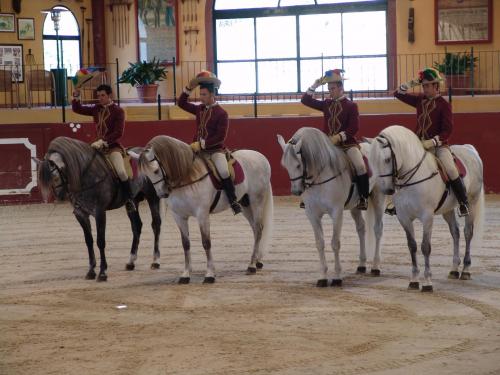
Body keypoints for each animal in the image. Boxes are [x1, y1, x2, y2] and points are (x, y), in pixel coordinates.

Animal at [132, 137, 274, 284]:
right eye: (146, 175)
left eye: (155, 171)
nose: (163, 194)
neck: (187, 177)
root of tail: (260, 157)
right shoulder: (179, 216)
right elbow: (186, 244)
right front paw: (186, 274)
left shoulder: (202, 214)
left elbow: (206, 242)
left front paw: (210, 274)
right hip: (245, 204)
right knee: (255, 229)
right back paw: (257, 260)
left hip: (256, 201)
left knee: (258, 229)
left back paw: (251, 266)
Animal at [276, 127, 384, 288]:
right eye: (285, 166)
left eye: (298, 165)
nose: (296, 191)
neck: (319, 178)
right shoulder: (312, 214)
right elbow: (320, 243)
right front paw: (322, 277)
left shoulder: (336, 213)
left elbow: (335, 243)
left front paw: (337, 277)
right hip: (355, 206)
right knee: (361, 228)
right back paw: (361, 265)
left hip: (378, 199)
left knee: (377, 229)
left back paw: (376, 267)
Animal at [370, 125, 482, 292]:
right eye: (373, 161)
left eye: (387, 159)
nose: (386, 190)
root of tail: (469, 149)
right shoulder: (404, 218)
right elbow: (412, 246)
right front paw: (414, 280)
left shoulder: (427, 217)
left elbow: (425, 247)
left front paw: (428, 282)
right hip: (447, 210)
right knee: (455, 233)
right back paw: (454, 270)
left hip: (472, 203)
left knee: (468, 233)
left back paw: (466, 271)